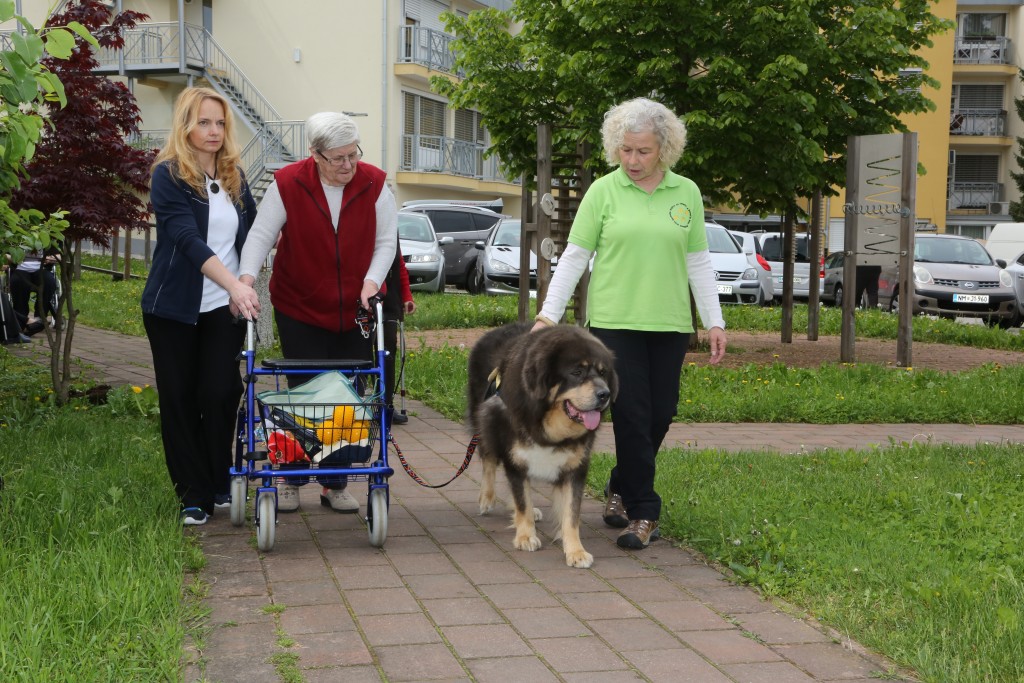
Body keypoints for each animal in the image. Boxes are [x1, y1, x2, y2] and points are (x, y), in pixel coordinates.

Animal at [467, 323, 617, 568]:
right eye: (577, 373)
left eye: (603, 373)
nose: (604, 394)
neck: (548, 423)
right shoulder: (516, 457)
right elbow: (522, 501)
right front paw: (526, 536)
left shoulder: (575, 467)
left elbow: (571, 514)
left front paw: (575, 550)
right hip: (485, 420)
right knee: (488, 459)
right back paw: (487, 498)